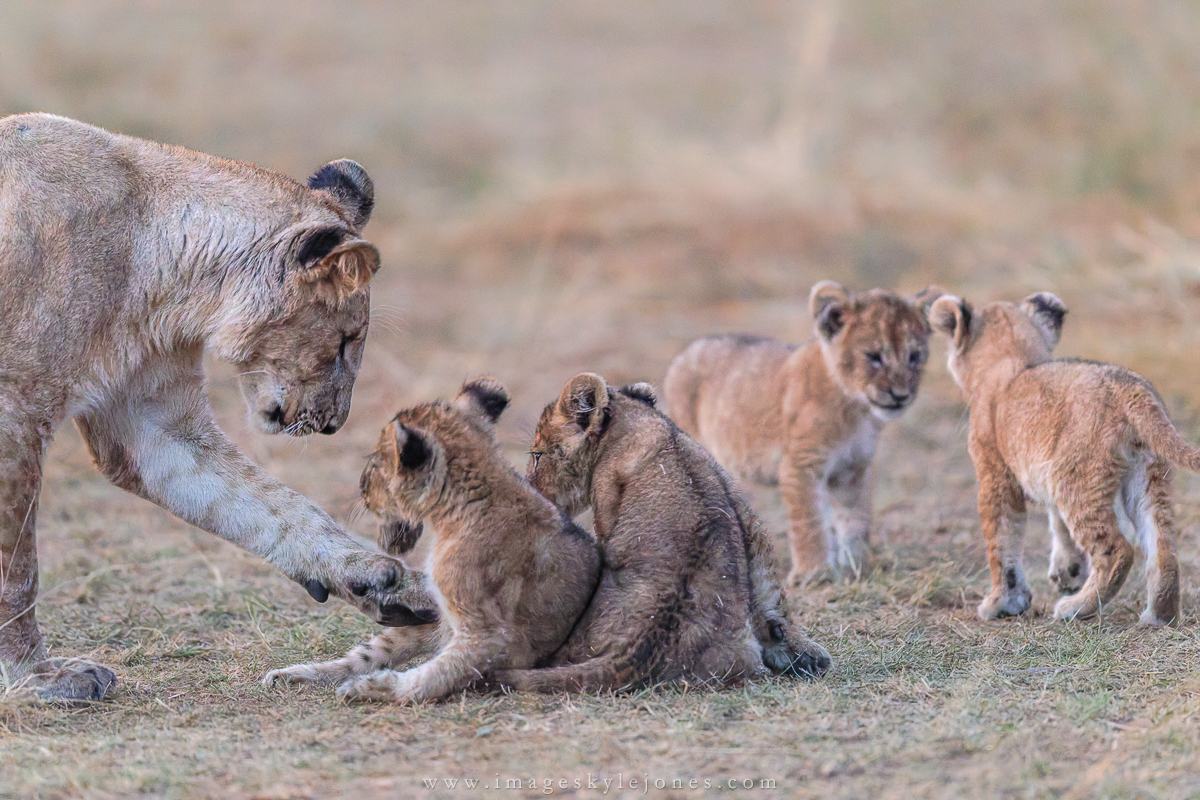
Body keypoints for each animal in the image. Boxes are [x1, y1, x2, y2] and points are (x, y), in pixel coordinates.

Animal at [0, 113, 434, 702]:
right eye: (347, 341)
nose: (333, 424)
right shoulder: (14, 411)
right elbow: (17, 567)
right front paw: (37, 679)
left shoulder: (151, 419)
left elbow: (271, 504)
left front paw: (392, 583)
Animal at [263, 377, 602, 703]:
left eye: (374, 463)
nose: (361, 487)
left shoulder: (489, 633)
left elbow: (435, 675)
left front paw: (372, 690)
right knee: (362, 657)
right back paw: (292, 675)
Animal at [488, 373, 831, 694]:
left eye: (537, 455)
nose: (533, 491)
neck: (641, 422)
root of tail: (632, 652)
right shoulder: (737, 505)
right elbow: (769, 587)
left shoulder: (607, 500)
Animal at [663, 281, 940, 584]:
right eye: (874, 357)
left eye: (914, 357)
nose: (900, 395)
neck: (856, 410)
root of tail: (683, 354)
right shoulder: (801, 465)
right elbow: (810, 522)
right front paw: (815, 574)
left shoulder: (852, 470)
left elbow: (855, 518)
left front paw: (857, 568)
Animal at [929, 291, 1190, 626]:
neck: (1012, 359)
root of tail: (1129, 388)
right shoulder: (1047, 469)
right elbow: (1059, 526)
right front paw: (1068, 572)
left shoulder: (996, 476)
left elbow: (1002, 540)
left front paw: (1001, 604)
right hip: (1147, 476)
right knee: (1164, 548)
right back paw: (1158, 616)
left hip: (1078, 480)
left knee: (1118, 550)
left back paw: (1075, 607)